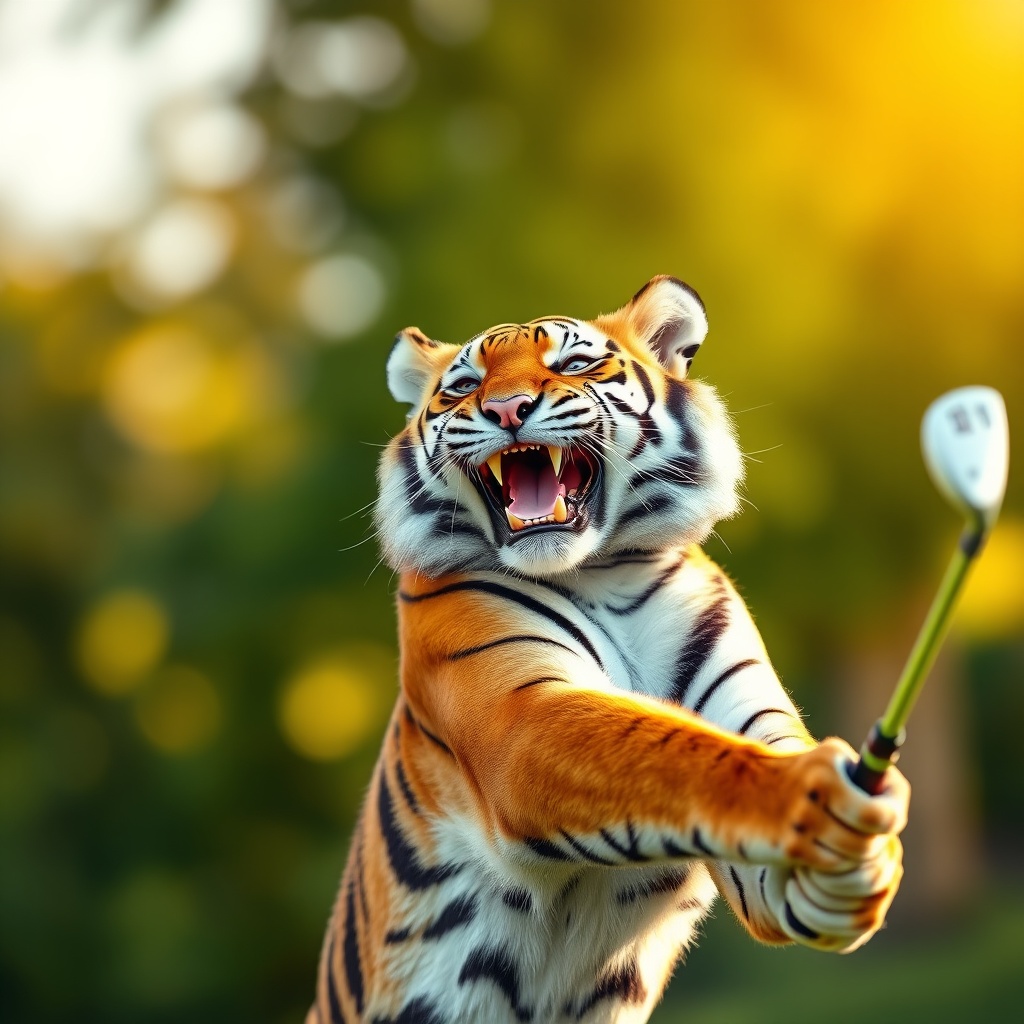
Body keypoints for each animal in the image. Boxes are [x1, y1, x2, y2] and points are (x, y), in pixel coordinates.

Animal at [307, 276, 910, 1024]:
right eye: (465, 387)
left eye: (574, 365)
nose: (506, 408)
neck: (602, 572)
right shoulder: (522, 724)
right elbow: (673, 752)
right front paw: (811, 793)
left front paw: (866, 859)